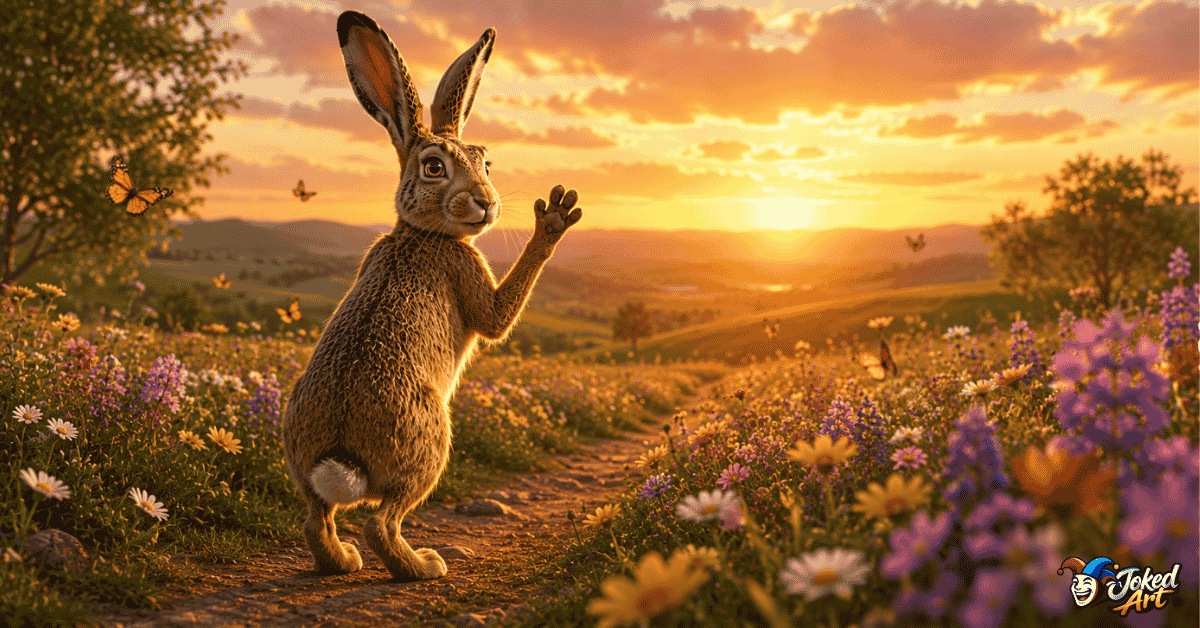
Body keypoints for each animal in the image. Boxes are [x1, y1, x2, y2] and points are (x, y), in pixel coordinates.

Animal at [281, 10, 582, 582]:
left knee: (315, 519)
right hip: (429, 445)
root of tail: (340, 455)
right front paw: (553, 220)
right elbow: (496, 319)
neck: (423, 231)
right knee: (381, 522)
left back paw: (343, 562)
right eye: (434, 168)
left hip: (300, 451)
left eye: (485, 162)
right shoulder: (465, 271)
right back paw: (424, 565)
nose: (486, 203)